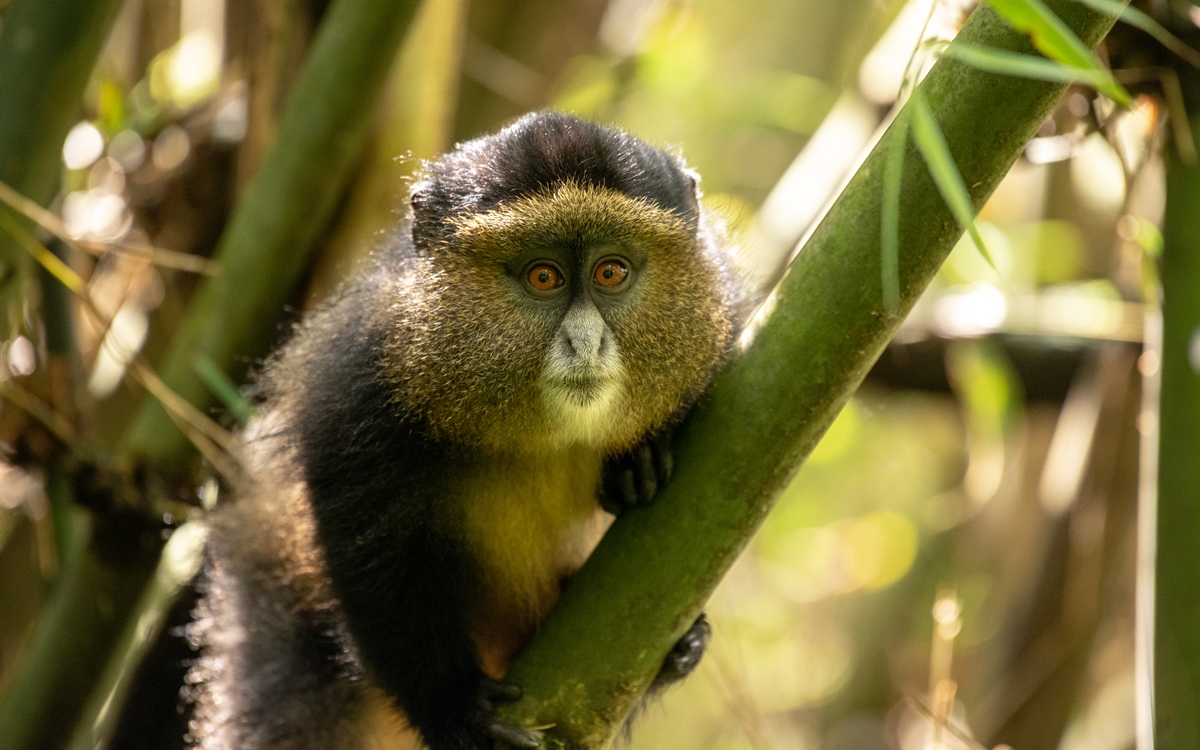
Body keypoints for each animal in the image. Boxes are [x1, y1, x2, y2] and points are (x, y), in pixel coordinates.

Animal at [186, 111, 744, 748]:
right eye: (544, 277)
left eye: (611, 272)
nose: (586, 342)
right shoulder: (360, 386)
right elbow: (373, 554)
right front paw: (454, 710)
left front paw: (643, 454)